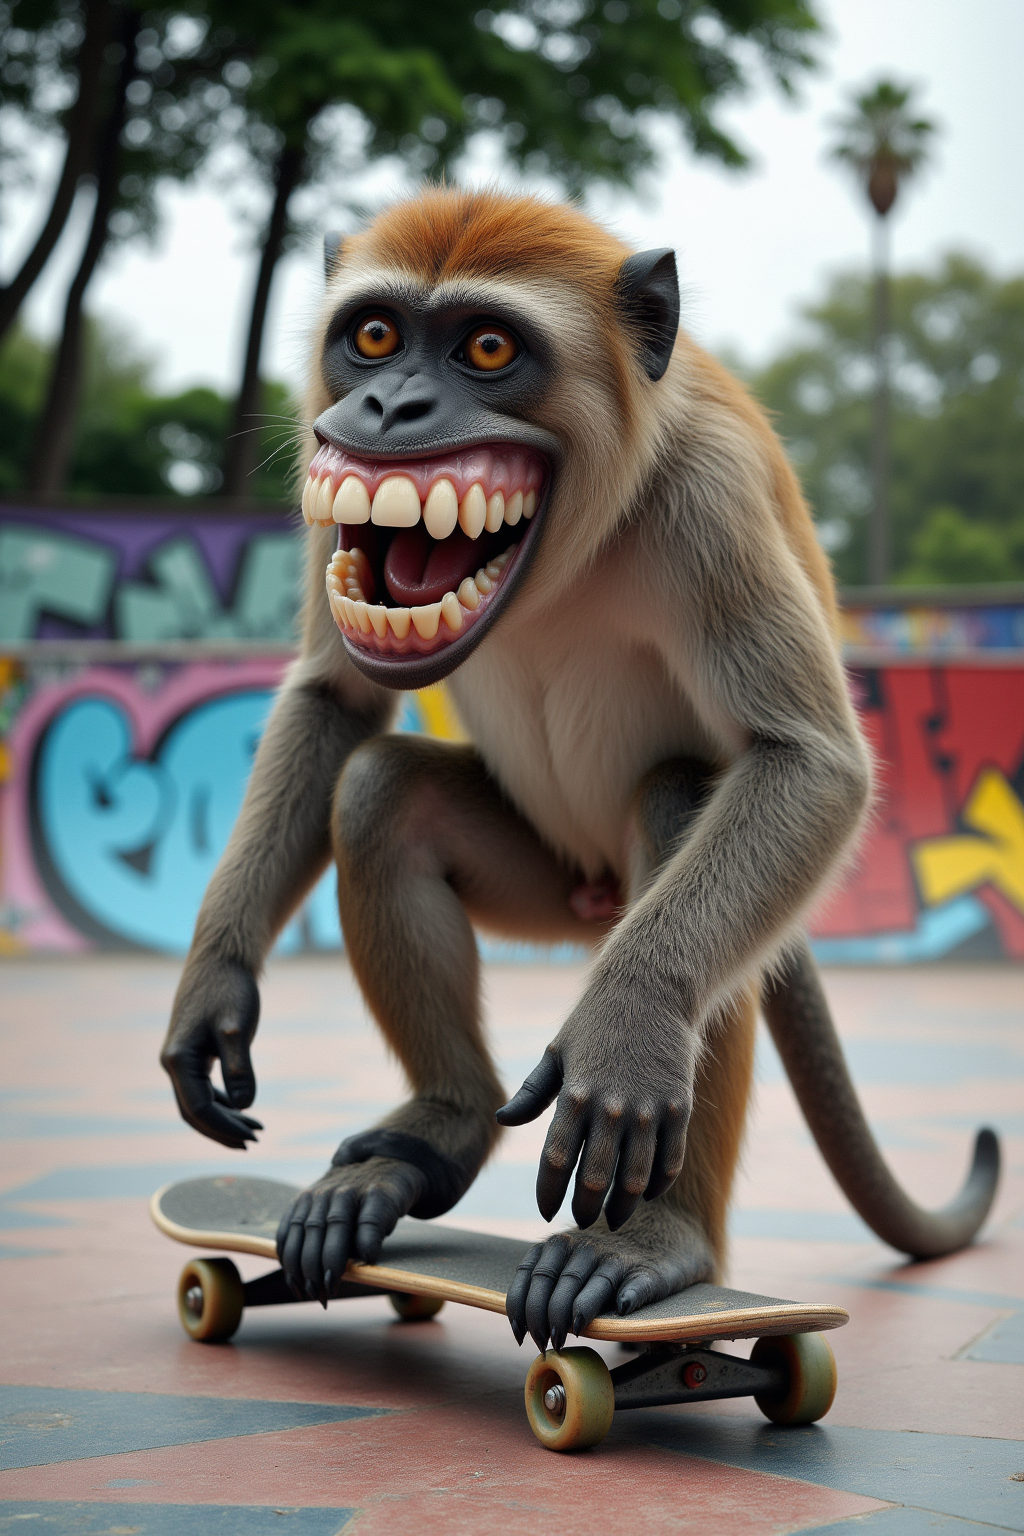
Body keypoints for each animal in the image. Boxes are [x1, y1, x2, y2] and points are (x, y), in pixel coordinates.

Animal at [160, 188, 1000, 1353]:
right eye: (373, 335)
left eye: (487, 347)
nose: (388, 406)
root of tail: (595, 896)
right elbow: (338, 699)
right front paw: (214, 983)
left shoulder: (710, 497)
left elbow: (807, 763)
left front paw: (631, 1027)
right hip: (549, 882)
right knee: (379, 794)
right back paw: (435, 1139)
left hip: (624, 896)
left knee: (681, 801)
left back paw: (654, 1242)